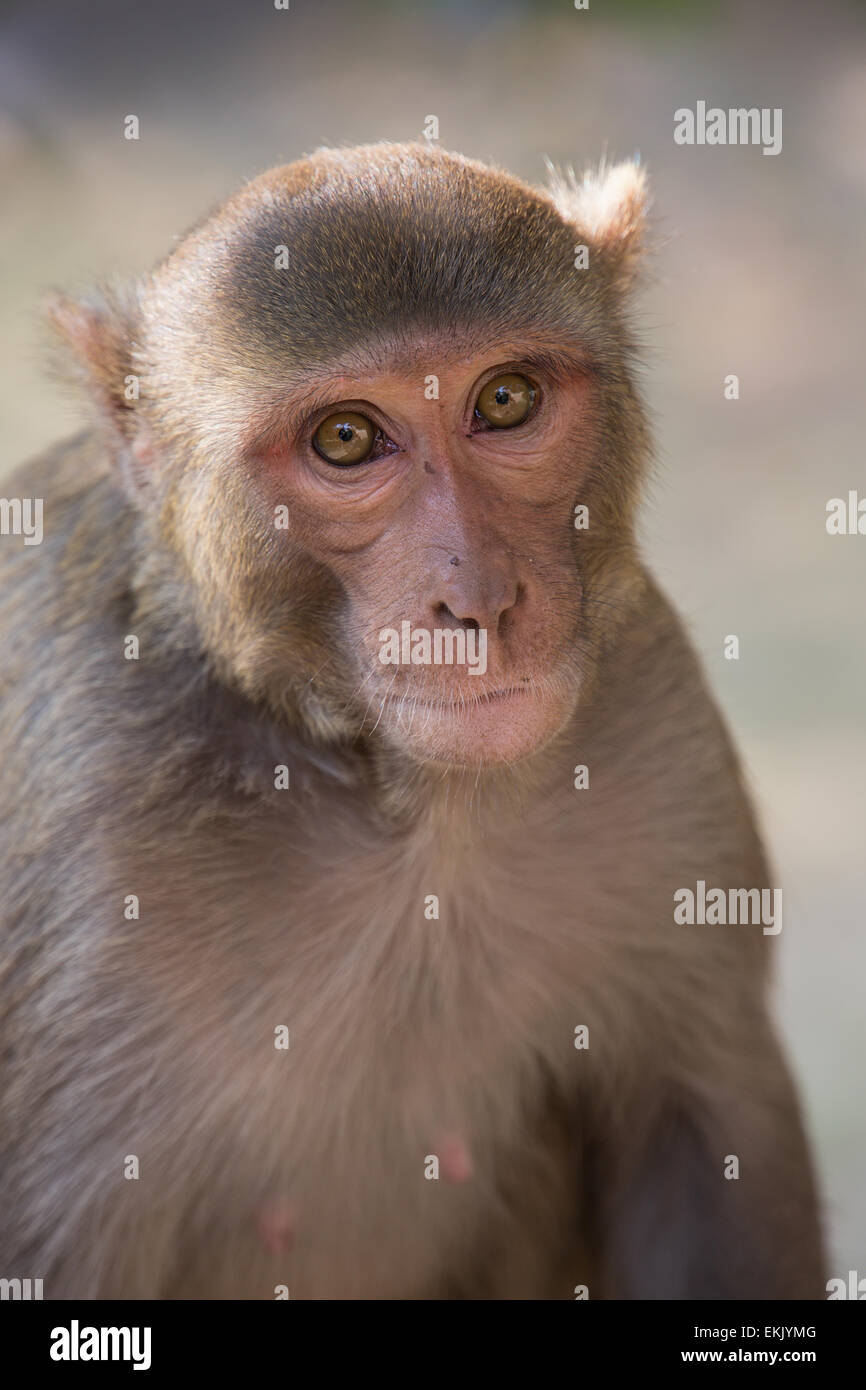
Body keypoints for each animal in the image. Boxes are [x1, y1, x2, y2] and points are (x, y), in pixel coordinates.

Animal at [0, 141, 828, 1289]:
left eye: (507, 398)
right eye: (347, 438)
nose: (477, 600)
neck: (413, 809)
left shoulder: (651, 708)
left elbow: (704, 1136)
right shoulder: (89, 823)